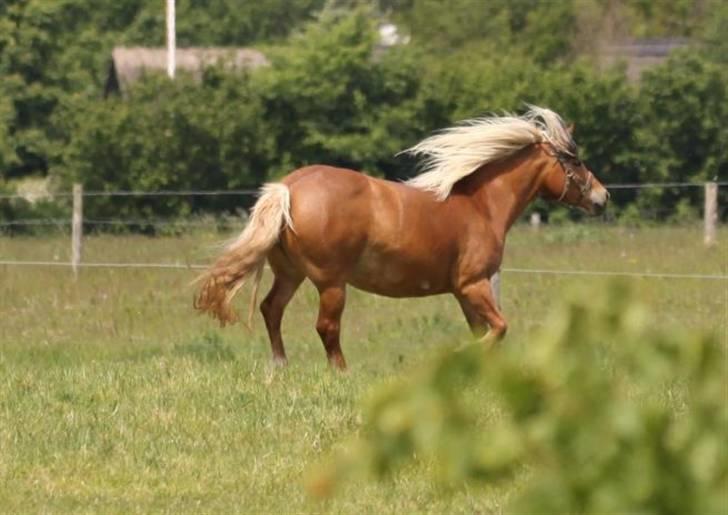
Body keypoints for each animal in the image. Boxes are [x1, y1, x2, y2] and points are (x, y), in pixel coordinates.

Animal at [193, 107, 608, 368]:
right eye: (574, 160)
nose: (602, 197)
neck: (480, 207)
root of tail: (289, 188)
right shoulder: (473, 284)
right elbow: (498, 329)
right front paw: (454, 357)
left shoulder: (463, 291)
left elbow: (485, 332)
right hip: (330, 283)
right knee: (326, 328)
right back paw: (341, 373)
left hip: (290, 274)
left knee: (271, 309)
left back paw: (280, 367)